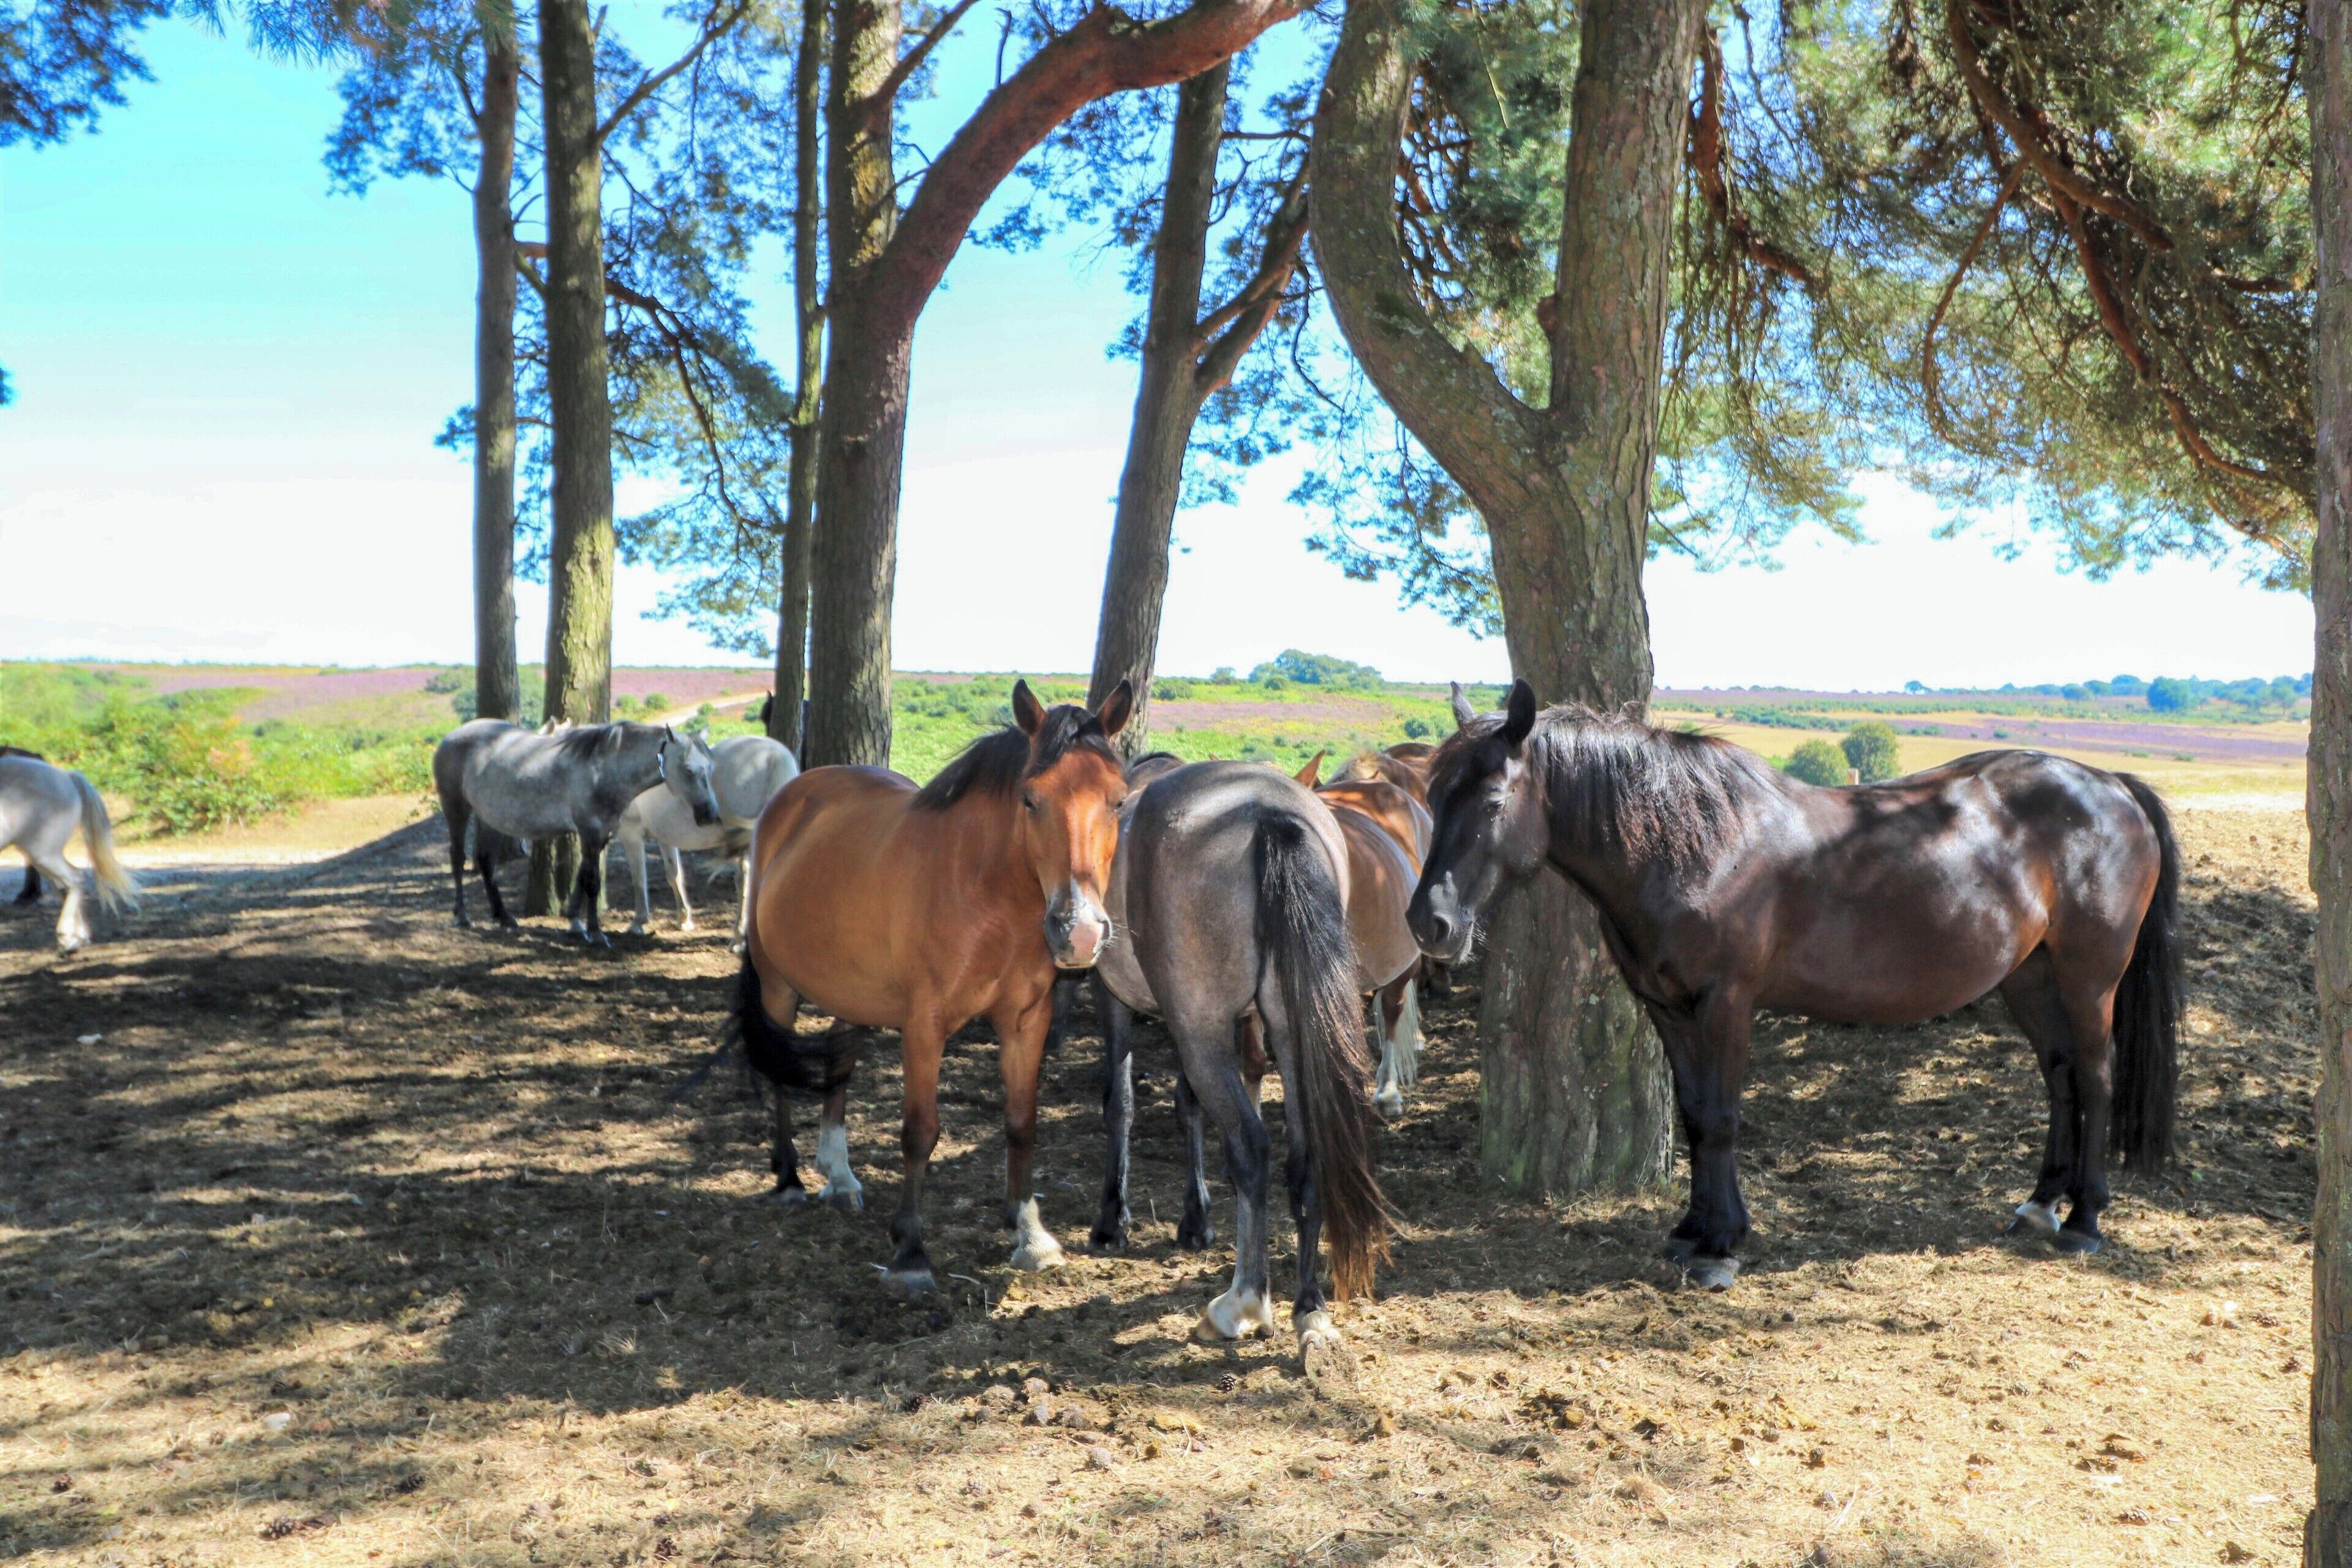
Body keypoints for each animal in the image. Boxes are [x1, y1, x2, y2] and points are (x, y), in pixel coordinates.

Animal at [433, 719, 721, 945]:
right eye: (687, 769)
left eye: (711, 767)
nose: (710, 815)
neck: (606, 768)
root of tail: (450, 737)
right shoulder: (591, 832)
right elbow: (592, 882)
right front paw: (595, 932)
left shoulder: (601, 834)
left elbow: (582, 877)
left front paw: (575, 922)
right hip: (456, 808)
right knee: (458, 858)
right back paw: (462, 916)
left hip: (490, 819)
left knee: (485, 861)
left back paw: (503, 917)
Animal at [615, 733, 798, 944]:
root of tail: (774, 756)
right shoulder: (665, 838)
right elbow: (674, 874)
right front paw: (684, 919)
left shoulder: (630, 832)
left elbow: (638, 878)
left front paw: (638, 923)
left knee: (744, 879)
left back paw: (738, 938)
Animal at [732, 680, 1133, 1298]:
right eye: (1030, 799)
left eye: (1118, 801)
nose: (1080, 930)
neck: (987, 893)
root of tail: (794, 794)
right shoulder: (925, 1027)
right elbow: (920, 1132)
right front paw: (911, 1251)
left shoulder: (1026, 1023)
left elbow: (1021, 1123)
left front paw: (1029, 1232)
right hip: (778, 985)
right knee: (777, 1068)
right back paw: (790, 1177)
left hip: (854, 992)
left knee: (840, 1060)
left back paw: (839, 1175)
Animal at [1094, 758, 1388, 1351]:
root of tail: (1269, 814)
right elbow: (1186, 1103)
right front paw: (1195, 1219)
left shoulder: (1126, 1003)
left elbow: (1122, 1101)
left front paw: (1115, 1217)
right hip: (1291, 1027)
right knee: (1304, 1156)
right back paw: (1308, 1306)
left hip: (1200, 1030)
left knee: (1252, 1147)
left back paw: (1243, 1302)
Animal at [1409, 680, 2181, 1288]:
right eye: (1432, 795)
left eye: (1493, 801)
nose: (1429, 922)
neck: (1693, 845)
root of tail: (2111, 785)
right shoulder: (1669, 1009)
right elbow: (1694, 1114)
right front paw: (1692, 1230)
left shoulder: (1726, 1003)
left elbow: (1721, 1118)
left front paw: (1719, 1247)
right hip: (2030, 975)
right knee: (2059, 1074)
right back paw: (2040, 1203)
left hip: (2090, 976)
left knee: (2096, 1076)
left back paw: (2085, 1218)